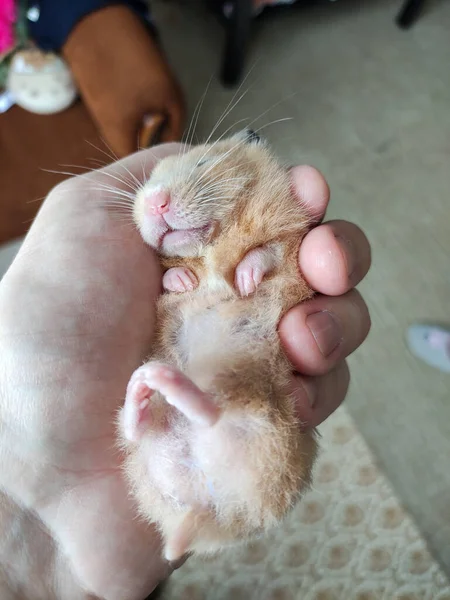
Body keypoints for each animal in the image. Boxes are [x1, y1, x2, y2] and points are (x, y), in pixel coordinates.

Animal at [118, 130, 318, 564]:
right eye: (148, 183)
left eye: (201, 164)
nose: (156, 201)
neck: (211, 247)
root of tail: (209, 508)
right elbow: (172, 274)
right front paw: (184, 283)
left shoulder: (291, 241)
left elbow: (265, 252)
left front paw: (243, 282)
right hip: (158, 452)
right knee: (143, 428)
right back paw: (143, 388)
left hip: (253, 408)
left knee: (210, 410)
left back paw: (160, 382)